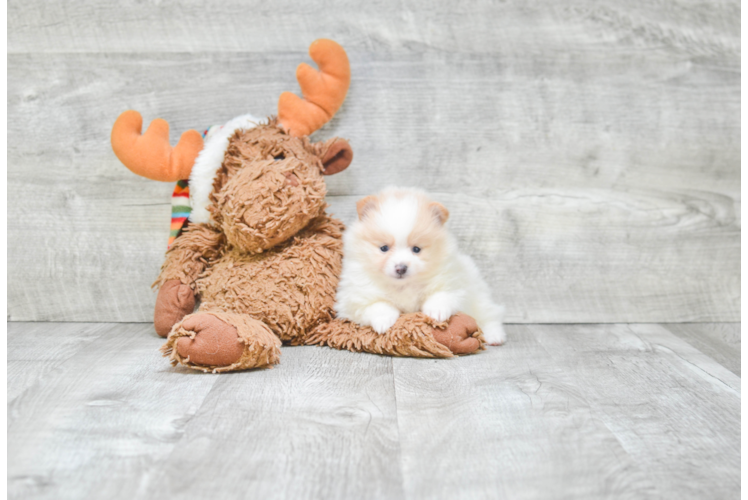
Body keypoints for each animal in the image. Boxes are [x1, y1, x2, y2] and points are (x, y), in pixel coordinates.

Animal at [336, 186, 506, 346]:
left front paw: (437, 311)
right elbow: (377, 305)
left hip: (478, 296)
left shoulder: (454, 282)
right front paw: (383, 321)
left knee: (489, 315)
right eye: (384, 248)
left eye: (416, 249)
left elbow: (441, 294)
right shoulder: (353, 299)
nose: (401, 268)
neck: (403, 286)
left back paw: (494, 336)